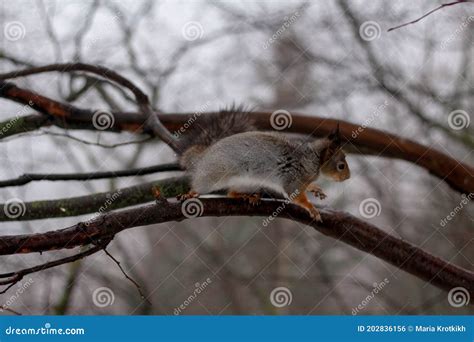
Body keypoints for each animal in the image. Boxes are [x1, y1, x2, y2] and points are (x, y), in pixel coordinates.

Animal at [176, 109, 350, 222]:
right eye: (341, 165)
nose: (348, 177)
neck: (313, 159)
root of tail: (202, 156)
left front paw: (315, 189)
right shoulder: (293, 178)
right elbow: (295, 196)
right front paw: (312, 208)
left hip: (247, 184)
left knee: (231, 194)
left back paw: (247, 196)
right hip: (214, 173)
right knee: (201, 186)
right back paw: (191, 194)